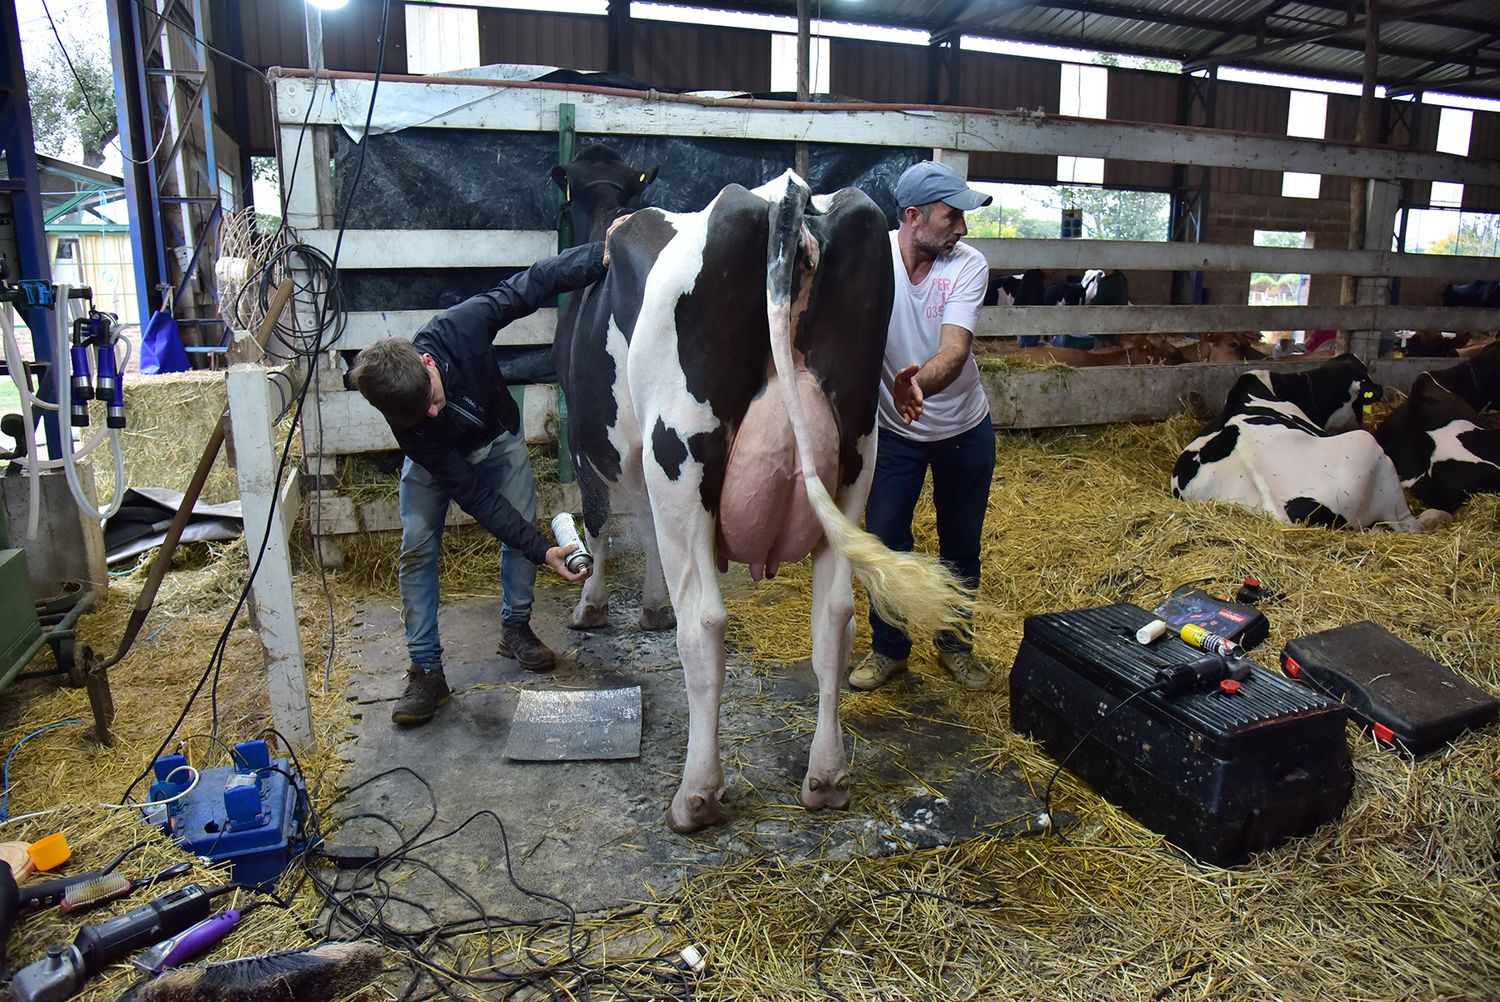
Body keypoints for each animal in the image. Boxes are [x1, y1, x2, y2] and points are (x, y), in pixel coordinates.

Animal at [552, 144, 972, 834]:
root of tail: (790, 196)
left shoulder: (594, 439)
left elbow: (601, 521)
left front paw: (594, 605)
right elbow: (642, 530)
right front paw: (648, 606)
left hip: (682, 454)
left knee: (705, 623)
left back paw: (696, 795)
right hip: (856, 456)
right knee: (834, 616)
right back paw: (826, 779)